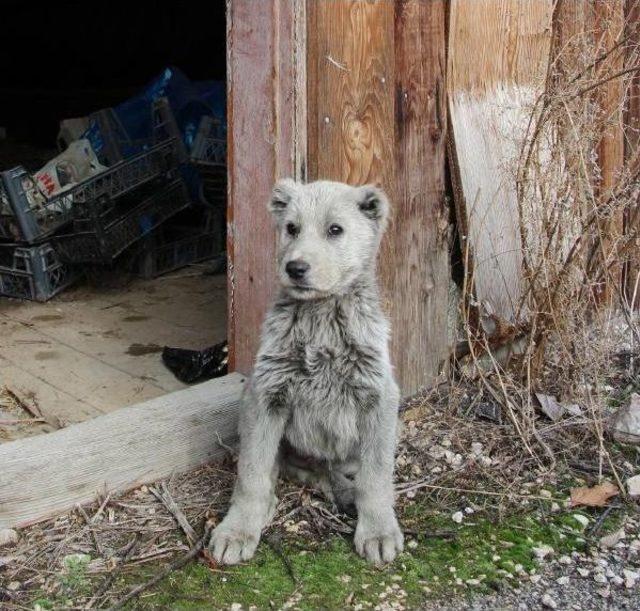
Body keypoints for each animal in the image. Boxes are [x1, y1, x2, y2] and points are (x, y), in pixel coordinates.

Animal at [209, 179, 400, 568]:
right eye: (292, 228)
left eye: (335, 230)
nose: (295, 267)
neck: (321, 317)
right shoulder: (264, 395)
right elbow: (252, 472)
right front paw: (237, 529)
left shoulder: (379, 396)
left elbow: (376, 474)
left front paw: (378, 530)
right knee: (289, 468)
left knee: (345, 470)